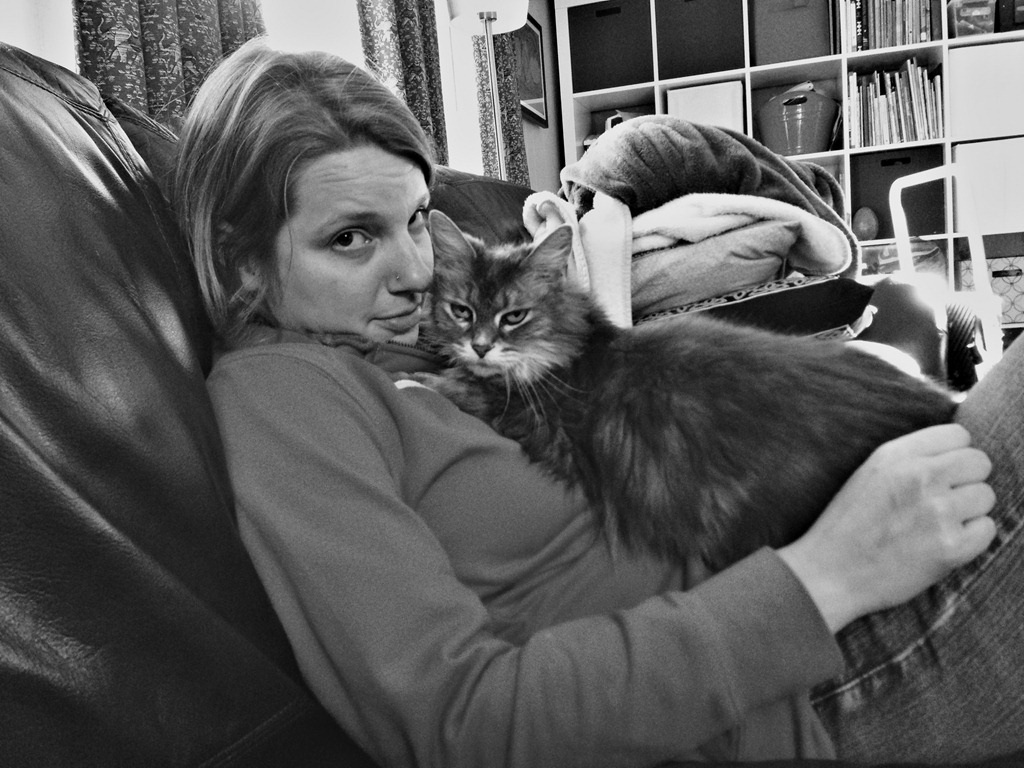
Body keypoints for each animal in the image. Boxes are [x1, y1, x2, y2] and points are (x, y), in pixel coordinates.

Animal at [422, 209, 958, 570]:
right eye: (461, 311)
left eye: (514, 316)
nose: (480, 347)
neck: (576, 349)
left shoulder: (534, 420)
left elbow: (457, 387)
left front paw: (423, 379)